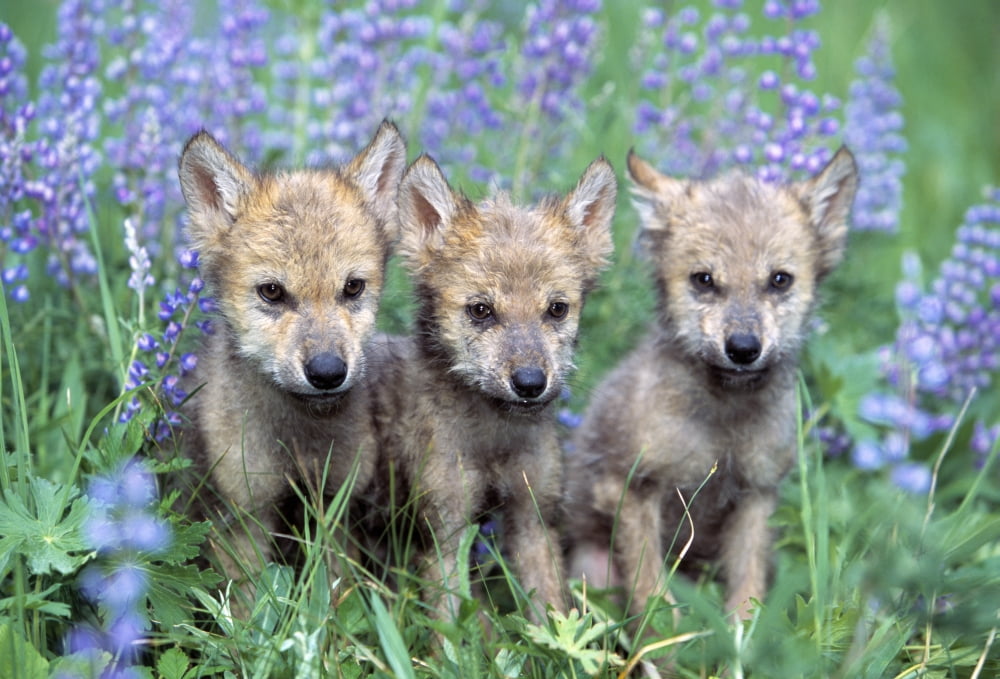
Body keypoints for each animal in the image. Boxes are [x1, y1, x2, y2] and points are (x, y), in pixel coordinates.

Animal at [177, 121, 407, 601]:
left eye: (353, 287)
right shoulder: (247, 514)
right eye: (271, 292)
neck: (299, 441)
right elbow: (250, 606)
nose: (327, 373)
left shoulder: (334, 505)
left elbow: (334, 597)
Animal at [367, 153, 617, 620]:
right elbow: (452, 630)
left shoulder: (533, 521)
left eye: (557, 309)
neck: (495, 440)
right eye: (481, 310)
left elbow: (552, 616)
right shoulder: (443, 534)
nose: (530, 383)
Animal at [565, 147, 857, 620]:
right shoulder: (631, 490)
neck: (724, 426)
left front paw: (740, 640)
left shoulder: (757, 498)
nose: (743, 348)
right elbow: (655, 603)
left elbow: (746, 599)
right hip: (592, 569)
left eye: (779, 280)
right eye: (704, 280)